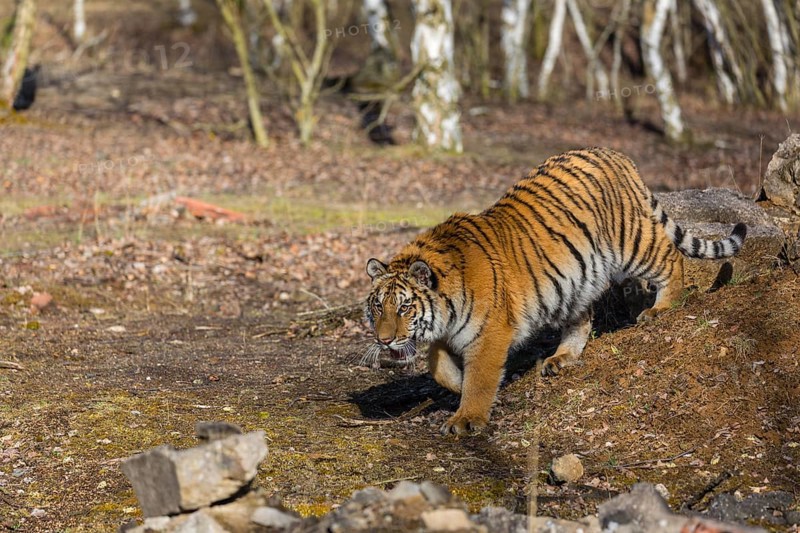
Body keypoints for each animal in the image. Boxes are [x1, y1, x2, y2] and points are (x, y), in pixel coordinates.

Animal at [364, 147, 746, 436]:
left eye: (404, 308)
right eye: (378, 307)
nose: (383, 341)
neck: (445, 303)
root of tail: (615, 154)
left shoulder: (490, 333)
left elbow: (481, 378)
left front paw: (467, 418)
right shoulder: (449, 328)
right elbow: (436, 364)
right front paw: (457, 384)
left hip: (631, 243)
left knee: (669, 257)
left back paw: (661, 307)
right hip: (576, 281)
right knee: (583, 318)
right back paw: (561, 358)